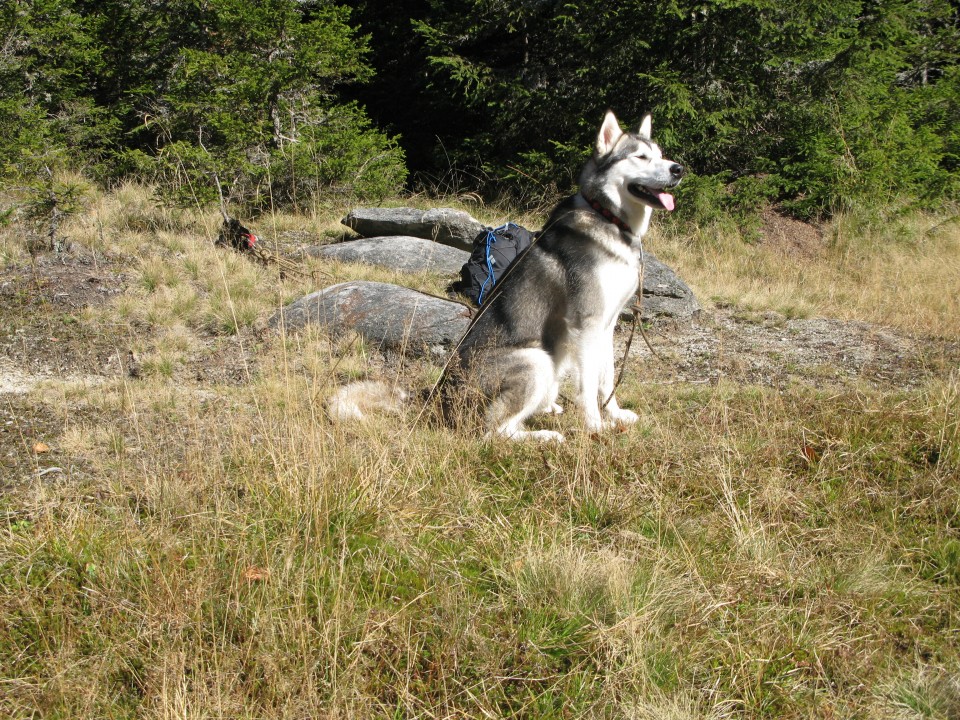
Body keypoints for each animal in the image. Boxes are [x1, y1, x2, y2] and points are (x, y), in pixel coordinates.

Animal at [328, 109, 684, 442]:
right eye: (641, 157)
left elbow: (606, 378)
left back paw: (549, 409)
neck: (609, 219)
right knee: (494, 433)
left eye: (661, 154)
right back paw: (544, 436)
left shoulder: (607, 325)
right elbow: (587, 388)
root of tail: (436, 397)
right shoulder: (586, 324)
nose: (678, 169)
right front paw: (595, 427)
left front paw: (615, 414)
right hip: (535, 360)